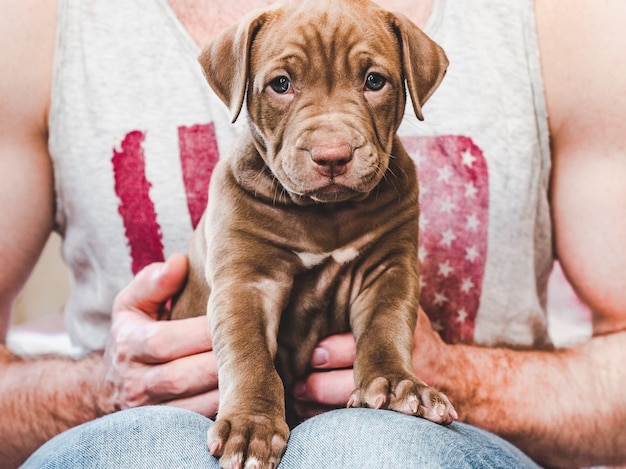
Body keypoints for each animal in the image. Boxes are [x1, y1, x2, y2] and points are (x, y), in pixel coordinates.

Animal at [171, 0, 454, 464]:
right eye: (281, 84)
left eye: (374, 81)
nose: (332, 156)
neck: (325, 214)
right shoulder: (247, 282)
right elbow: (249, 356)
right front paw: (252, 425)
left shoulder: (389, 271)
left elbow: (387, 327)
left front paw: (399, 386)